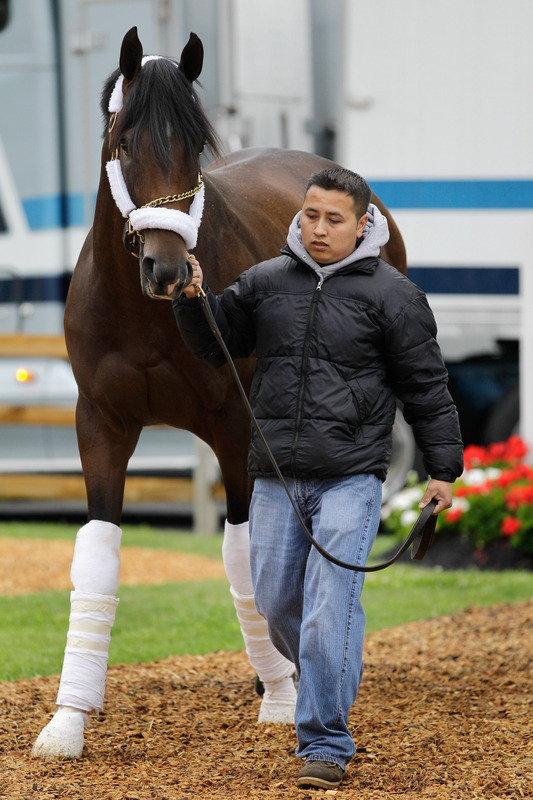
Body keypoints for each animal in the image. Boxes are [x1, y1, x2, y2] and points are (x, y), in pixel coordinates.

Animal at [31, 28, 406, 760]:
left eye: (191, 146)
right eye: (124, 142)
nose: (167, 268)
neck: (143, 317)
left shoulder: (235, 428)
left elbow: (245, 556)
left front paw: (284, 698)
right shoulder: (101, 424)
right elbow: (98, 556)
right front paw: (67, 720)